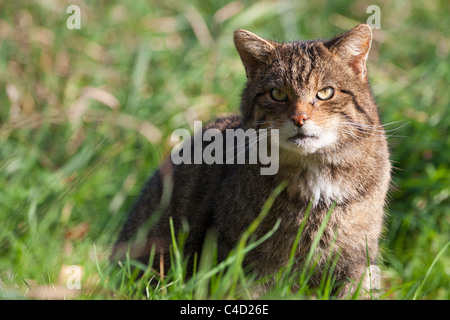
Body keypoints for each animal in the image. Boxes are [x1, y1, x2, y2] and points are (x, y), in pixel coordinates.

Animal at [112, 24, 390, 298]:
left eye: (325, 92)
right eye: (277, 93)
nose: (299, 118)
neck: (315, 179)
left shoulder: (357, 261)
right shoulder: (247, 266)